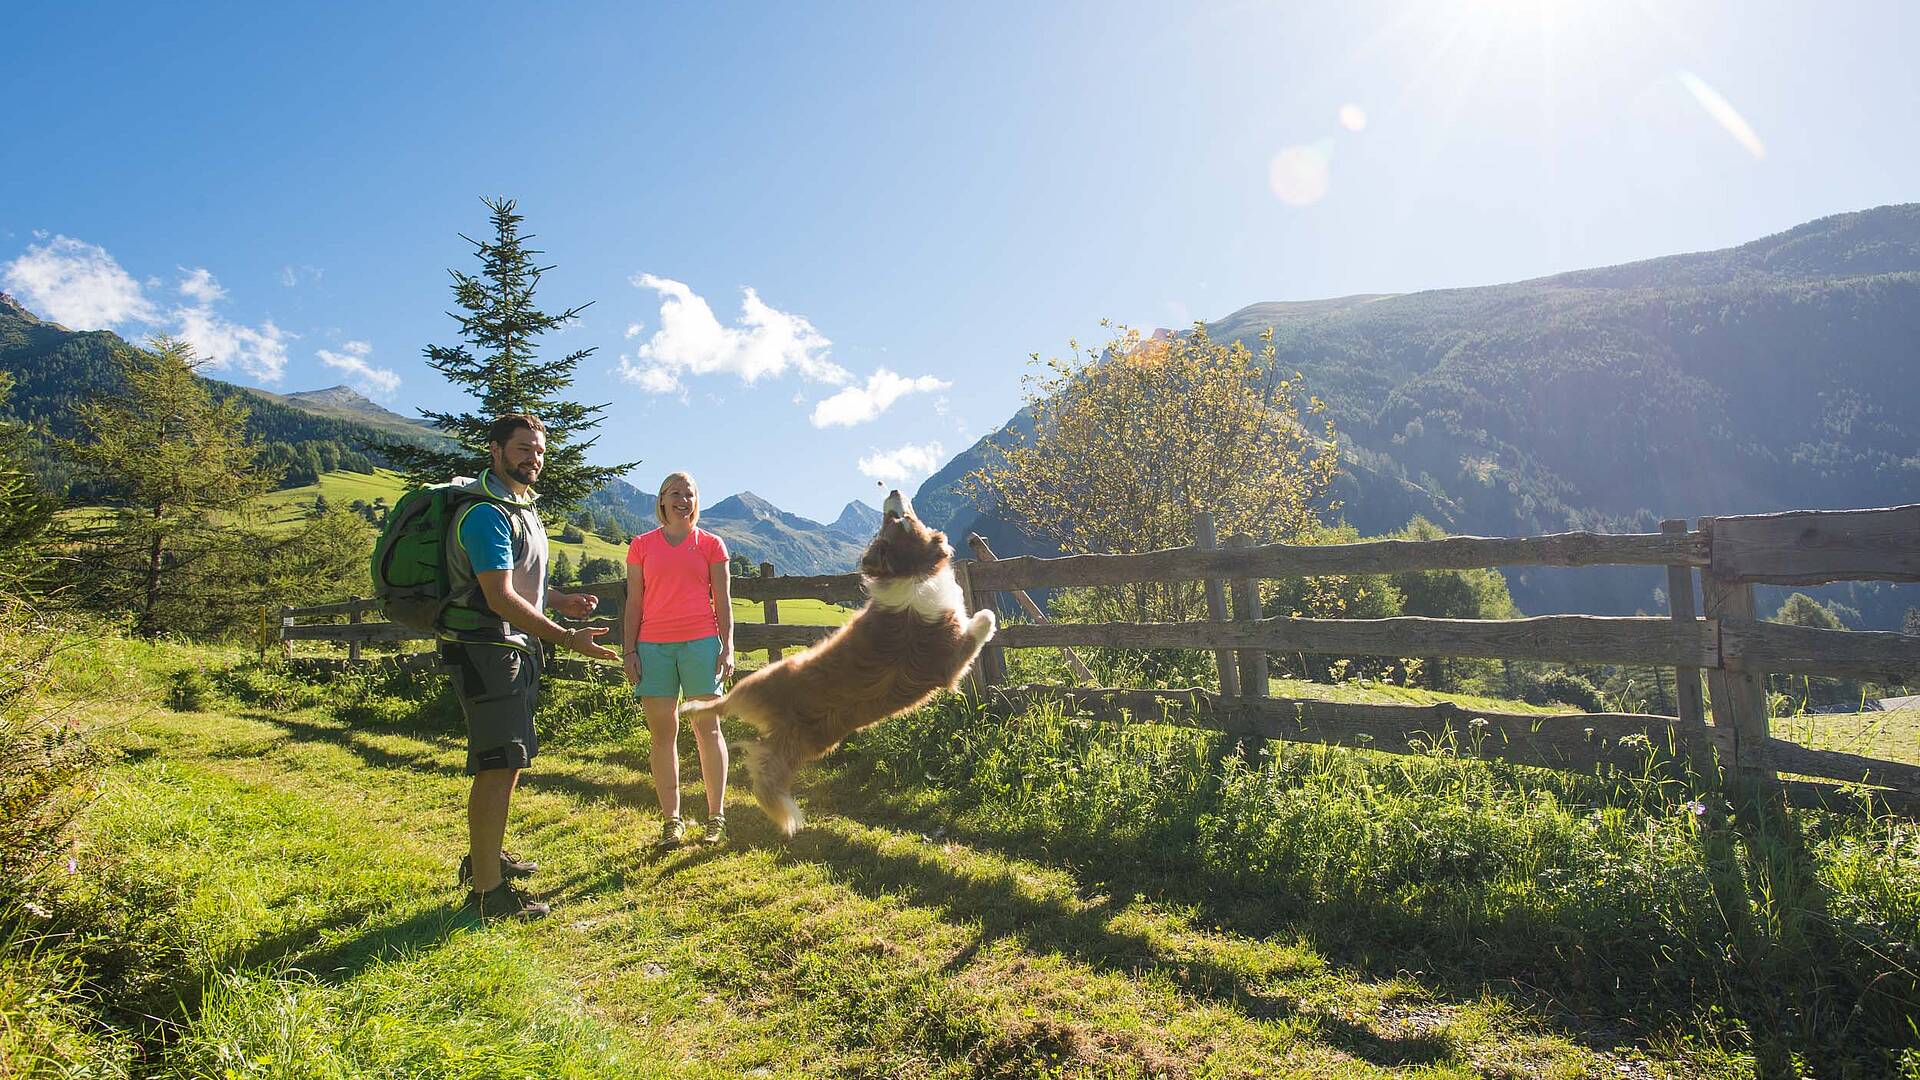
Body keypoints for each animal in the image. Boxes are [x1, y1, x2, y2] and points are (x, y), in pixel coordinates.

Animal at [675, 488, 998, 834]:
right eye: (899, 518)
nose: (893, 492)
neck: (911, 571)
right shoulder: (951, 660)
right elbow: (981, 623)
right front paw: (986, 617)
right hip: (767, 691)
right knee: (743, 739)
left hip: (800, 742)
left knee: (756, 756)